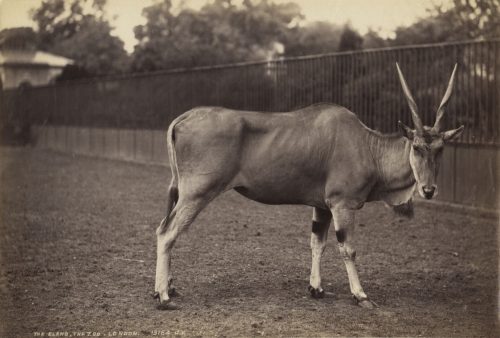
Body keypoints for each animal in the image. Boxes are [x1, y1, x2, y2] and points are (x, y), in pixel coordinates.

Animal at [152, 62, 464, 308]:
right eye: (417, 147)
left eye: (440, 149)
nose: (428, 190)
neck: (367, 146)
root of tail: (182, 119)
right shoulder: (342, 205)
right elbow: (347, 248)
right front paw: (360, 295)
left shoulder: (322, 207)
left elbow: (318, 243)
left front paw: (316, 288)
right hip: (197, 194)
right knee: (167, 232)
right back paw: (164, 297)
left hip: (182, 193)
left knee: (165, 228)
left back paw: (167, 288)